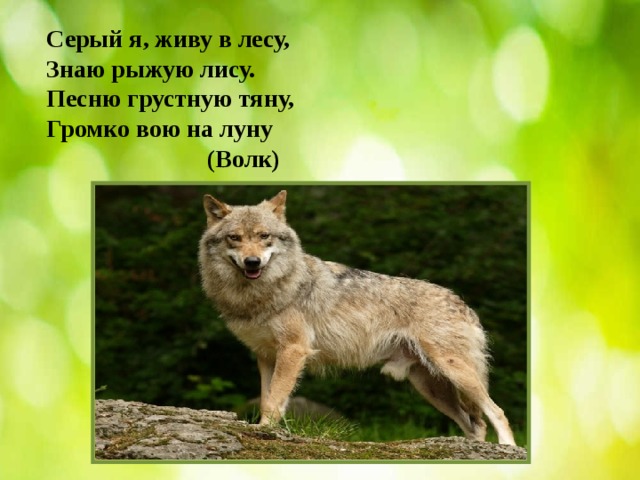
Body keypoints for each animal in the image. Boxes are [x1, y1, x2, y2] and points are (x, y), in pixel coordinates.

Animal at [198, 190, 516, 445]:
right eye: (235, 238)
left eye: (264, 236)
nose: (252, 262)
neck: (261, 293)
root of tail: (463, 304)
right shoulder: (266, 356)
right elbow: (268, 398)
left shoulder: (293, 350)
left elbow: (273, 401)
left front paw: (265, 432)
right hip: (432, 387)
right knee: (476, 424)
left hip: (454, 373)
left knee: (497, 412)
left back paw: (507, 448)